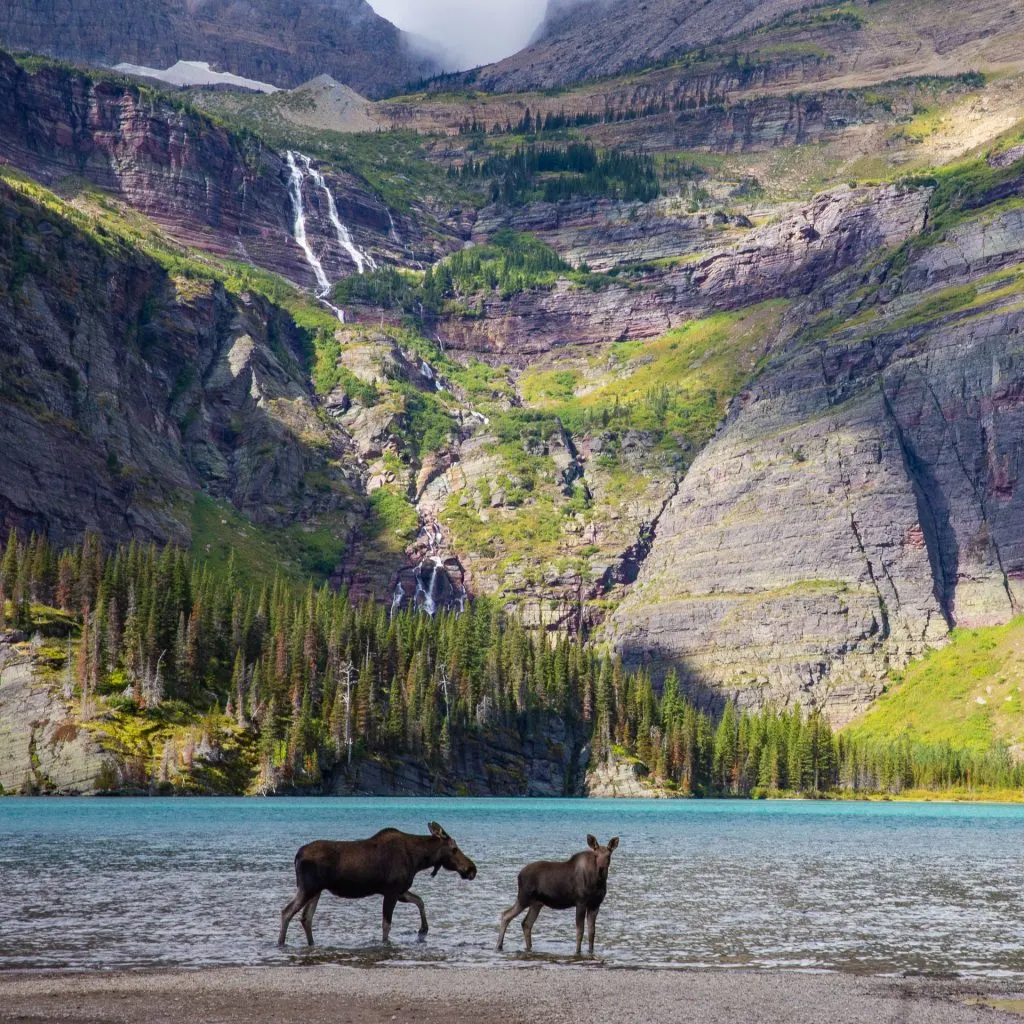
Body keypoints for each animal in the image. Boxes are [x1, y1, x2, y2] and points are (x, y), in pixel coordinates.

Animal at [276, 819, 475, 946]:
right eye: (454, 848)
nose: (472, 869)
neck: (419, 860)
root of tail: (297, 855)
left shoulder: (400, 890)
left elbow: (420, 901)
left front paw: (423, 929)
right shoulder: (392, 891)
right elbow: (386, 924)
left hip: (316, 890)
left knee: (306, 918)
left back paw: (311, 944)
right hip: (307, 887)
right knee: (287, 912)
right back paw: (281, 943)